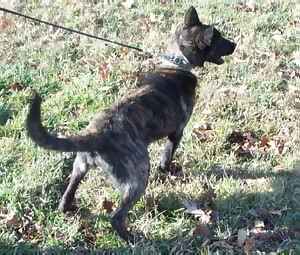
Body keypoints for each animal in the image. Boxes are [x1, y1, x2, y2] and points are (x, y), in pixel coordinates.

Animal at [25, 6, 236, 243]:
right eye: (219, 38)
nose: (235, 45)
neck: (177, 62)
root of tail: (96, 134)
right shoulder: (177, 131)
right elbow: (167, 155)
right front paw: (167, 170)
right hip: (138, 177)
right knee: (117, 217)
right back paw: (132, 238)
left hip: (80, 166)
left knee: (67, 194)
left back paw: (68, 208)